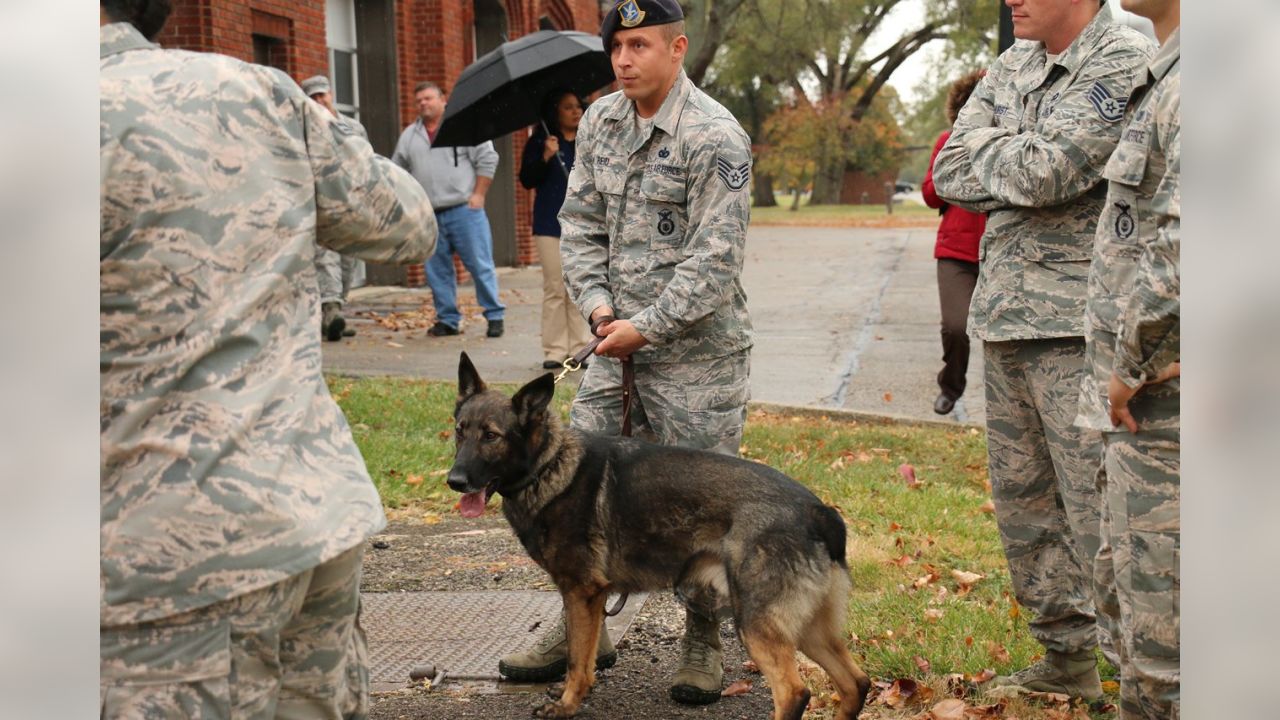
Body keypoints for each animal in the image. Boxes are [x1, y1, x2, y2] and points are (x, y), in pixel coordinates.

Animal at [445, 351, 875, 712]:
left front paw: (565, 706)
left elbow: (577, 661)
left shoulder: (582, 591)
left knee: (794, 691)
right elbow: (583, 654)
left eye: (491, 435)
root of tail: (819, 511)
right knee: (856, 683)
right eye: (460, 430)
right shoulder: (588, 596)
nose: (454, 480)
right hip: (809, 628)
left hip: (756, 622)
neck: (548, 464)